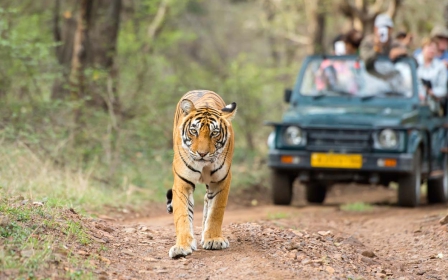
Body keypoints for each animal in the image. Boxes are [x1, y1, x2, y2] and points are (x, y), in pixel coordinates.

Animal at [167, 89, 238, 258]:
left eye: (214, 133)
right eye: (194, 131)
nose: (202, 154)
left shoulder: (221, 181)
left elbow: (216, 211)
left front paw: (213, 239)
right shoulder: (182, 183)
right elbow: (183, 215)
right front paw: (182, 246)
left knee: (207, 201)